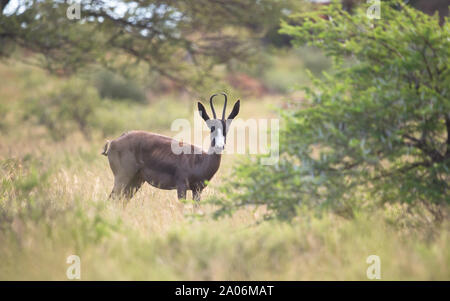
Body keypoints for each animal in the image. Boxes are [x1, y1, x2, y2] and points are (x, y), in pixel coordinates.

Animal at [101, 92, 239, 203]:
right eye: (211, 128)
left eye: (226, 128)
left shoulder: (197, 190)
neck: (200, 159)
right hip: (122, 179)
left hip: (135, 182)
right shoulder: (182, 187)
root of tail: (113, 142)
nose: (220, 145)